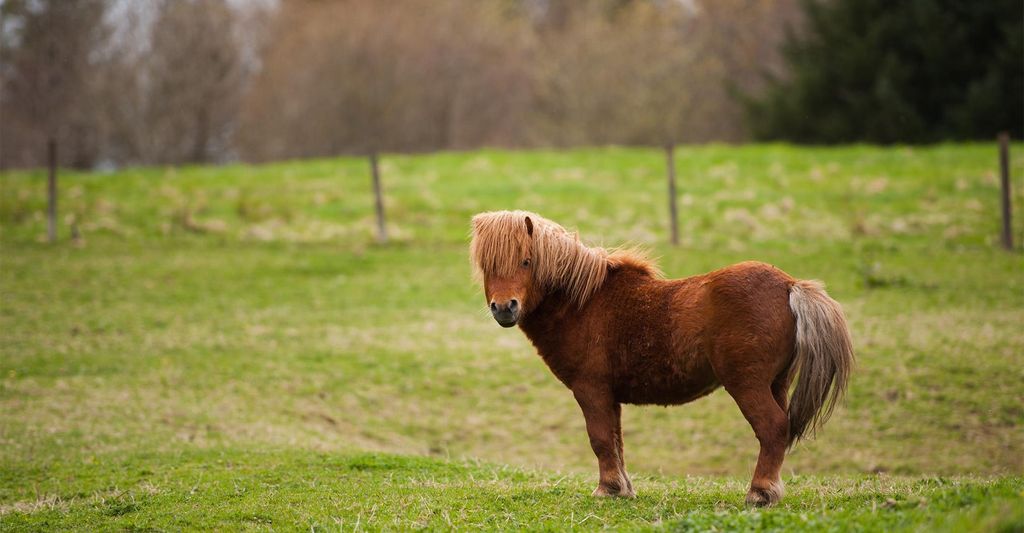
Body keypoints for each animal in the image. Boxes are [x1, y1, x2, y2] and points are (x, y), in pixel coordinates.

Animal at [469, 210, 854, 506]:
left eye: (526, 261)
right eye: (486, 266)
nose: (504, 308)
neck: (583, 302)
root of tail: (790, 286)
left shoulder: (590, 390)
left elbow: (600, 439)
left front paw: (606, 489)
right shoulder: (609, 396)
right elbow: (615, 441)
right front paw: (622, 489)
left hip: (748, 385)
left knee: (772, 428)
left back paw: (759, 493)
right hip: (777, 383)